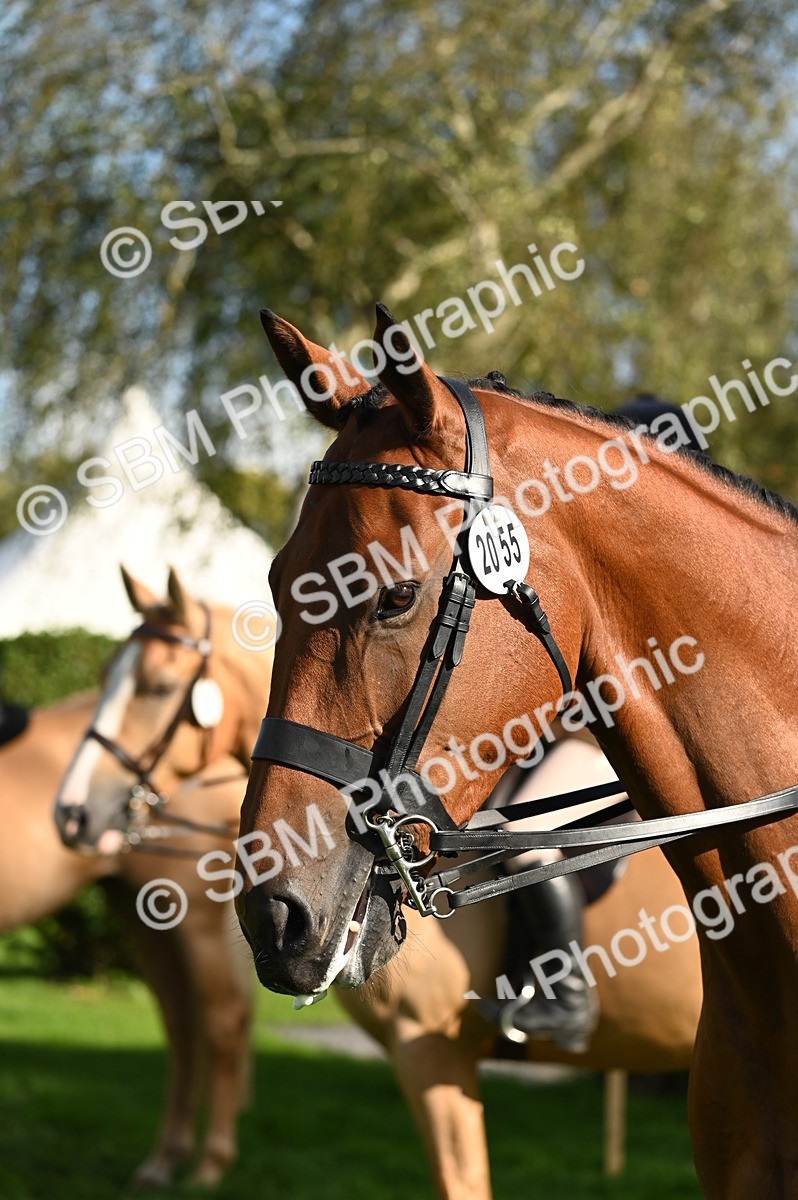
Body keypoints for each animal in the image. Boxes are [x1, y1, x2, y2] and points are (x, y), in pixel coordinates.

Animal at [2, 567, 269, 1187]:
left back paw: (209, 1163)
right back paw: (166, 1159)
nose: (71, 812)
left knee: (220, 1020)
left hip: (193, 921)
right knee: (183, 1025)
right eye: (105, 677)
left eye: (162, 686)